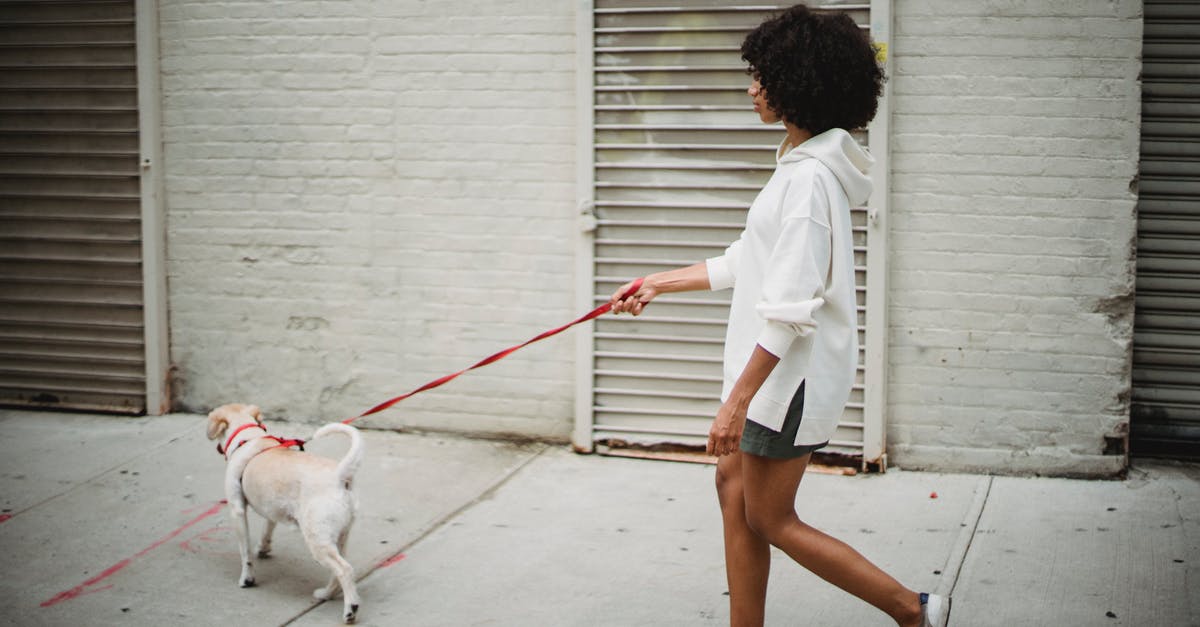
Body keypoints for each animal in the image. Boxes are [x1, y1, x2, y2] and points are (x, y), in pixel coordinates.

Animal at [207, 403, 364, 619]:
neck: (249, 438)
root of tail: (339, 476)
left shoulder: (236, 509)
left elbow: (245, 553)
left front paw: (247, 579)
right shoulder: (271, 509)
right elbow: (267, 530)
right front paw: (263, 548)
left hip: (318, 540)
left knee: (345, 569)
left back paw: (350, 610)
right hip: (340, 536)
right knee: (340, 570)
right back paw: (326, 594)